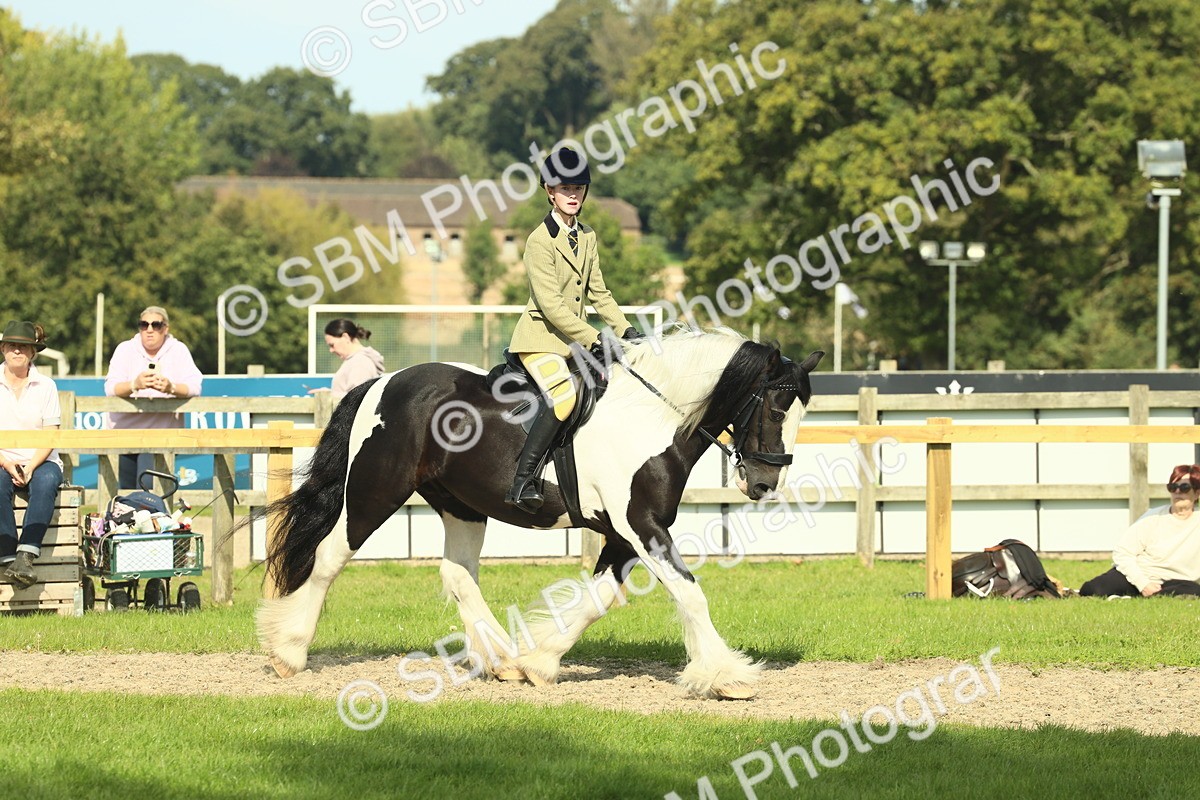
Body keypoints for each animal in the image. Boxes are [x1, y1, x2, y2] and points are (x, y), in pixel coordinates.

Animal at [258, 328, 823, 699]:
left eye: (801, 410)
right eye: (776, 406)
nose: (764, 483)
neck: (652, 416)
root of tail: (384, 383)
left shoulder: (624, 535)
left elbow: (597, 600)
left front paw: (540, 661)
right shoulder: (643, 527)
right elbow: (690, 593)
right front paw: (728, 676)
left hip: (462, 505)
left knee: (458, 575)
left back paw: (504, 661)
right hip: (375, 491)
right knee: (328, 558)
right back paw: (289, 652)